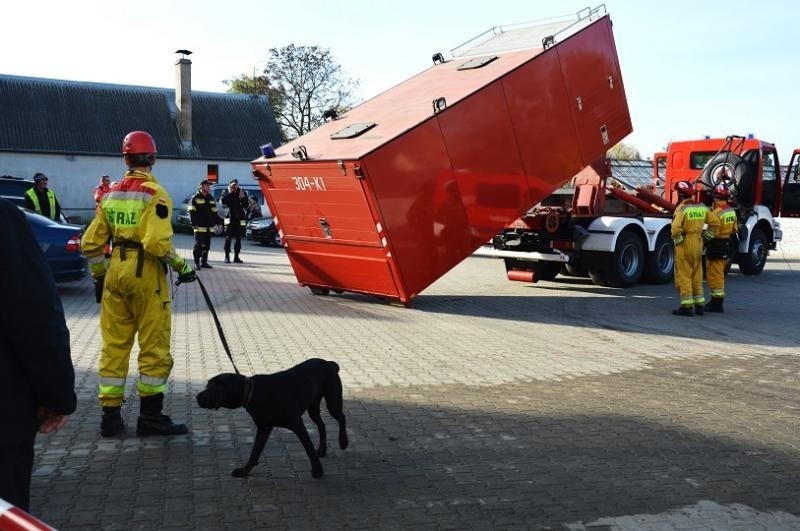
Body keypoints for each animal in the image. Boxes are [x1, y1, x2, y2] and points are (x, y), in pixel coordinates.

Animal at [197, 360, 346, 480]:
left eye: (210, 389)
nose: (197, 396)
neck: (251, 392)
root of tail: (329, 363)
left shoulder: (297, 425)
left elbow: (308, 448)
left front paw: (317, 470)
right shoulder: (264, 427)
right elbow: (254, 452)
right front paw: (244, 470)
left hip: (332, 402)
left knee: (341, 417)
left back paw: (343, 441)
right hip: (313, 407)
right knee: (322, 424)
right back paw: (322, 449)